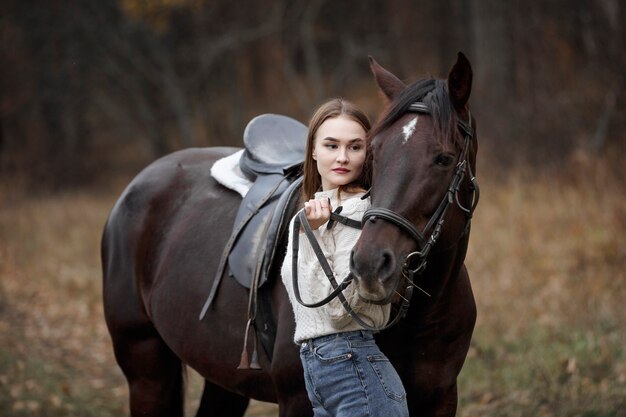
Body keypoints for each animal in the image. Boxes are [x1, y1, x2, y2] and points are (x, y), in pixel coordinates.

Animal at [102, 52, 476, 416]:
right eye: (373, 153)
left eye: (443, 159)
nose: (369, 265)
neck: (422, 315)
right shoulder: (297, 399)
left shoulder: (442, 398)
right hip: (146, 366)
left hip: (223, 377)